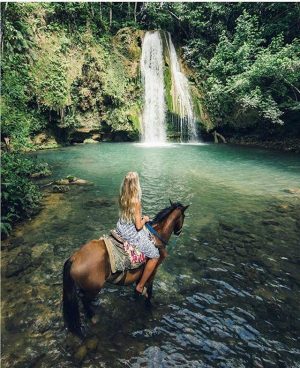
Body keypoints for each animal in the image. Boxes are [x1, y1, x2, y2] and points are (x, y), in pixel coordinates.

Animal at [62, 200, 189, 338]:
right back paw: (93, 317)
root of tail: (74, 257)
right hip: (94, 287)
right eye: (184, 216)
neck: (157, 238)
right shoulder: (153, 270)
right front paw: (148, 306)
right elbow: (149, 291)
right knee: (84, 300)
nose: (179, 231)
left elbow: (137, 290)